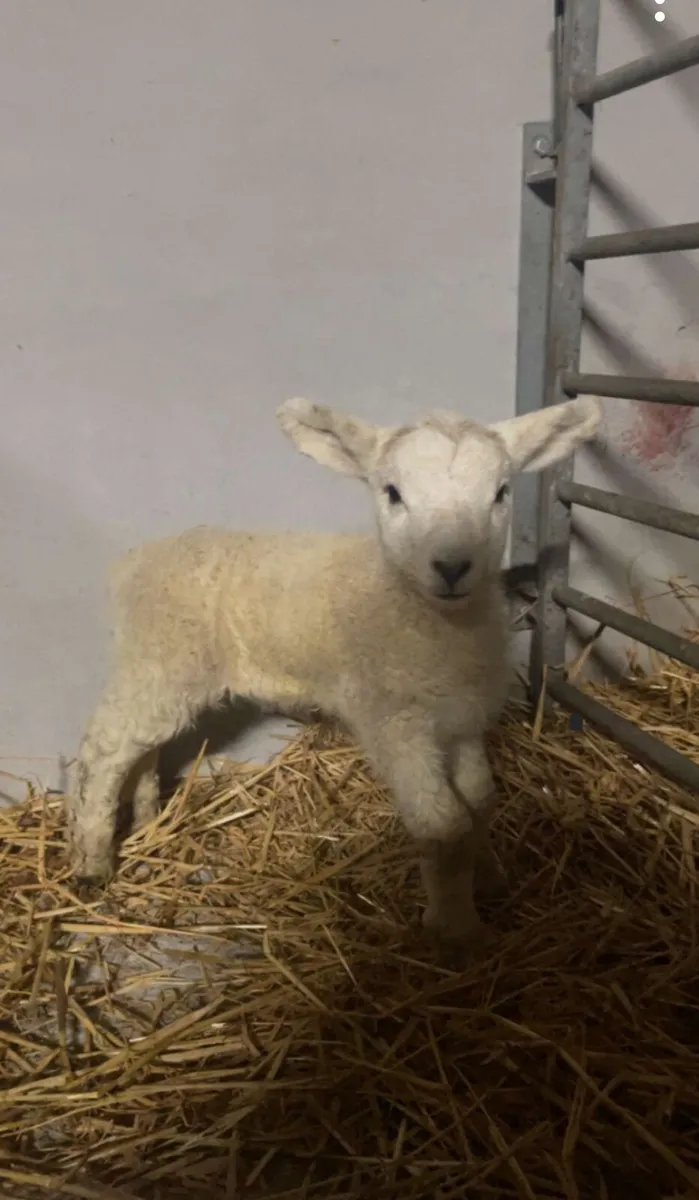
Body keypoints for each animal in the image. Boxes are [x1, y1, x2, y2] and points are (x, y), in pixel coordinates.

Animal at [66, 394, 601, 944]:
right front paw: (456, 928)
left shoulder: (460, 724)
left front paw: (489, 876)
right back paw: (91, 860)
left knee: (139, 750)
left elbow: (479, 804)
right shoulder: (395, 723)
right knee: (104, 752)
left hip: (158, 671)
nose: (453, 566)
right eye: (393, 493)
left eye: (500, 493)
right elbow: (443, 824)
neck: (427, 619)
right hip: (164, 660)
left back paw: (147, 822)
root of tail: (130, 565)